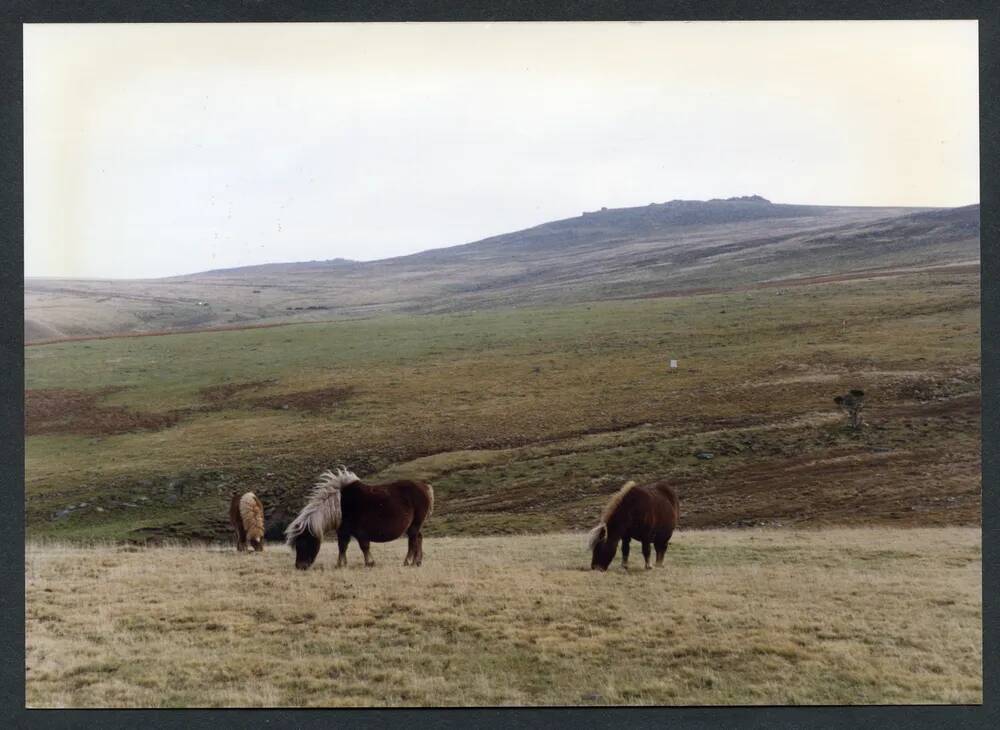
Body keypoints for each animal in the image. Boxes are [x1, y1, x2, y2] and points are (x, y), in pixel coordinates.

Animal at [286, 466, 434, 568]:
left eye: (302, 542)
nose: (299, 566)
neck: (340, 505)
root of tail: (425, 487)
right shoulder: (343, 532)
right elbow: (342, 546)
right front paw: (340, 564)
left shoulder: (360, 532)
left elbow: (364, 547)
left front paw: (369, 562)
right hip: (415, 525)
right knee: (419, 538)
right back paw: (417, 562)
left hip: (414, 525)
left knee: (413, 541)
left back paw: (407, 561)